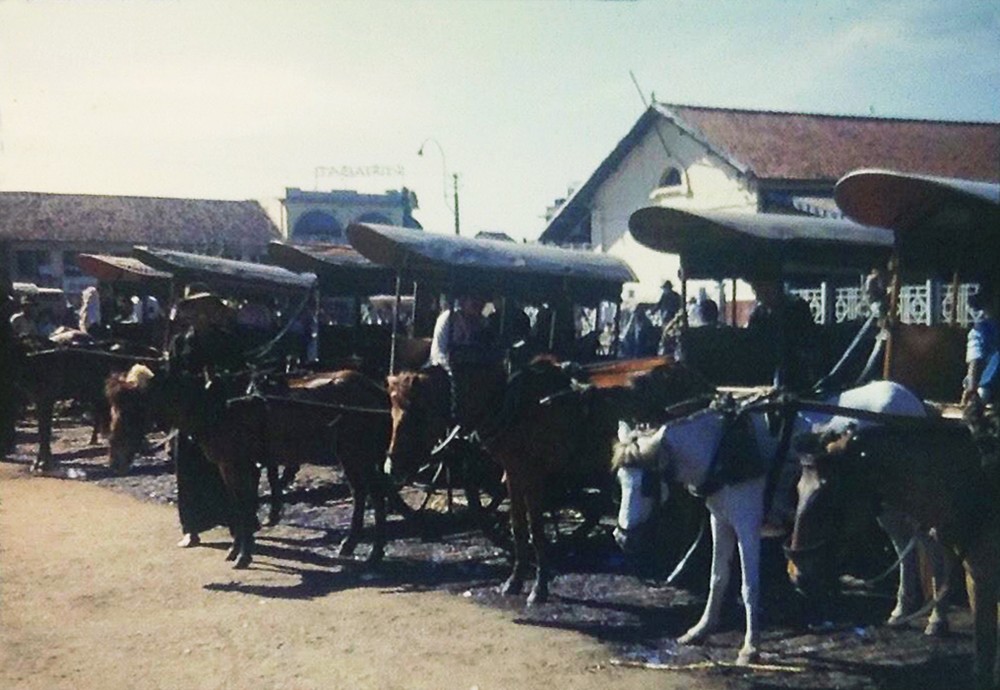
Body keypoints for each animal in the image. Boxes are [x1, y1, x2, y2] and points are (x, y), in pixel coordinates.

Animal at [107, 362, 390, 568]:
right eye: (114, 409)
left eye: (133, 409)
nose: (115, 460)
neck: (218, 407)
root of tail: (372, 388)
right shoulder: (228, 467)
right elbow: (236, 505)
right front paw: (236, 550)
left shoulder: (240, 465)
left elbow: (244, 506)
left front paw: (243, 554)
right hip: (349, 456)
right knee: (360, 493)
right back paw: (350, 544)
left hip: (359, 455)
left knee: (376, 495)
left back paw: (375, 552)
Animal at [608, 378, 944, 664]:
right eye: (621, 479)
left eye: (648, 483)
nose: (623, 538)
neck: (721, 444)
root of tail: (916, 403)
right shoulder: (720, 519)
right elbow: (717, 577)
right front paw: (701, 629)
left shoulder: (747, 523)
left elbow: (749, 586)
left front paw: (750, 647)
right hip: (886, 505)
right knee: (904, 544)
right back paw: (901, 609)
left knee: (929, 543)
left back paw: (936, 618)